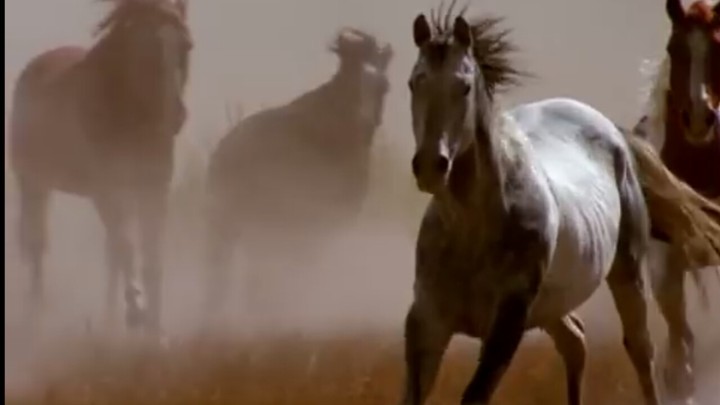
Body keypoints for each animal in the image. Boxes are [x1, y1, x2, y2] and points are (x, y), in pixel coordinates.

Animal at [9, 0, 192, 334]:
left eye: (186, 46)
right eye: (146, 46)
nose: (176, 115)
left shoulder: (154, 189)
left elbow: (152, 259)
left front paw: (155, 330)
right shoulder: (106, 191)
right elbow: (126, 248)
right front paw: (137, 312)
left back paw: (109, 318)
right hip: (34, 183)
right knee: (37, 244)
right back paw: (37, 314)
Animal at [399, 6, 687, 404]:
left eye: (464, 86)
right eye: (415, 83)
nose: (430, 166)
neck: (471, 230)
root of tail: (611, 130)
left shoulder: (507, 325)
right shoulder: (427, 323)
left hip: (626, 272)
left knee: (640, 350)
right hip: (553, 304)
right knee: (575, 341)